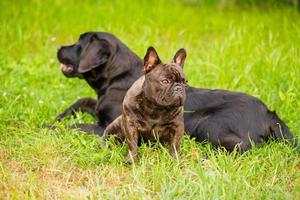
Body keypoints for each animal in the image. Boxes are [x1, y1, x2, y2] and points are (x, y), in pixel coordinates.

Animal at [56, 31, 296, 152]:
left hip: (208, 124)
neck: (116, 77)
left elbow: (77, 126)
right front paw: (58, 117)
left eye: (78, 44)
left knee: (242, 146)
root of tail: (269, 114)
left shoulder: (108, 124)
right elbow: (81, 101)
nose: (58, 48)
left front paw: (52, 127)